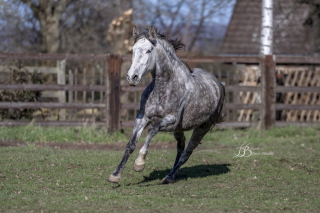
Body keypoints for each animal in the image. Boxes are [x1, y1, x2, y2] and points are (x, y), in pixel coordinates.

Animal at [109, 26, 224, 183]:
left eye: (148, 50)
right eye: (133, 50)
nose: (132, 77)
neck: (164, 87)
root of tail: (219, 85)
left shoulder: (170, 120)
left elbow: (152, 130)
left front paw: (139, 164)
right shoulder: (142, 118)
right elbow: (130, 145)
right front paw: (115, 175)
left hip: (202, 128)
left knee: (187, 152)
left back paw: (169, 177)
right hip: (180, 128)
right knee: (181, 146)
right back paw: (172, 175)